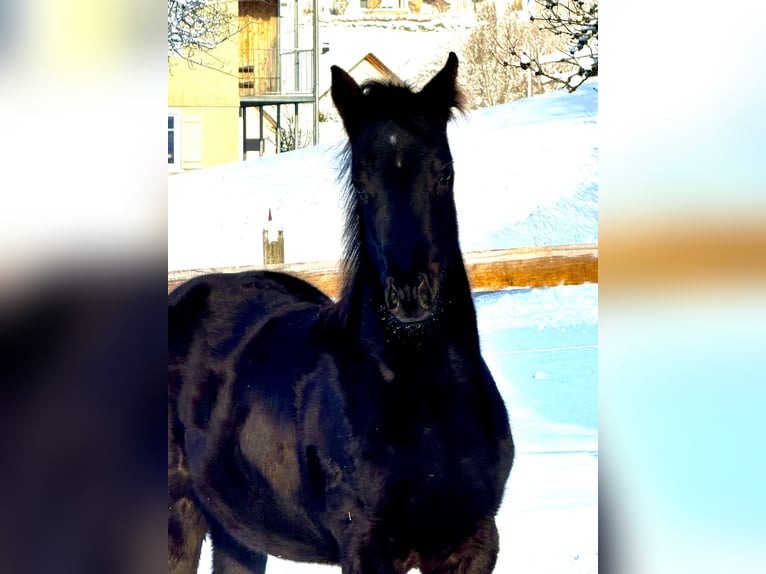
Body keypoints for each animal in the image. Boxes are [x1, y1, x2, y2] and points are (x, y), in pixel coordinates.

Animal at [168, 52, 514, 574]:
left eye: (444, 174)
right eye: (361, 184)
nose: (409, 294)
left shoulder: (474, 541)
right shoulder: (367, 547)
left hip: (237, 534)